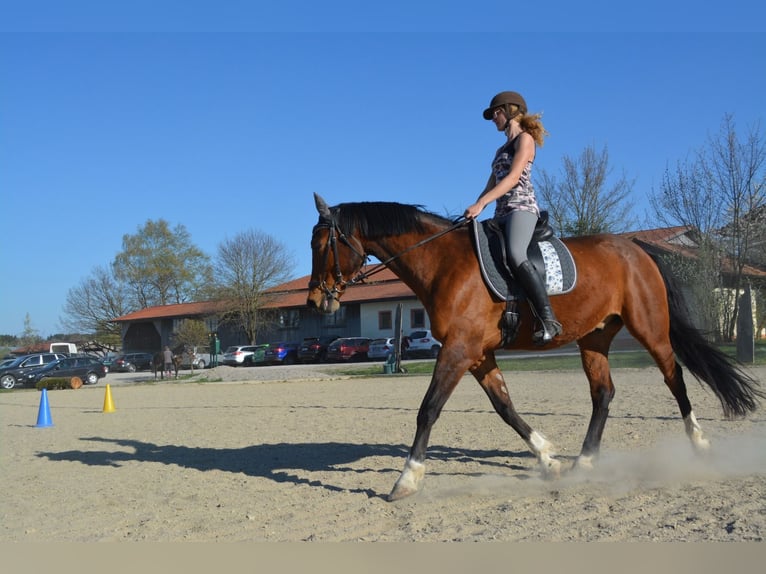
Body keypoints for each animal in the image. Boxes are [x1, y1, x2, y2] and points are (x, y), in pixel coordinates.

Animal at [308, 196, 764, 502]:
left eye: (321, 245)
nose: (315, 302)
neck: (443, 264)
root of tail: (637, 249)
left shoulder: (457, 350)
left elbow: (429, 409)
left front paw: (407, 479)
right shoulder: (477, 354)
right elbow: (505, 407)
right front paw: (548, 458)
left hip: (650, 330)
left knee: (675, 379)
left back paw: (699, 443)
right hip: (594, 338)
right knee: (603, 393)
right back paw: (585, 462)